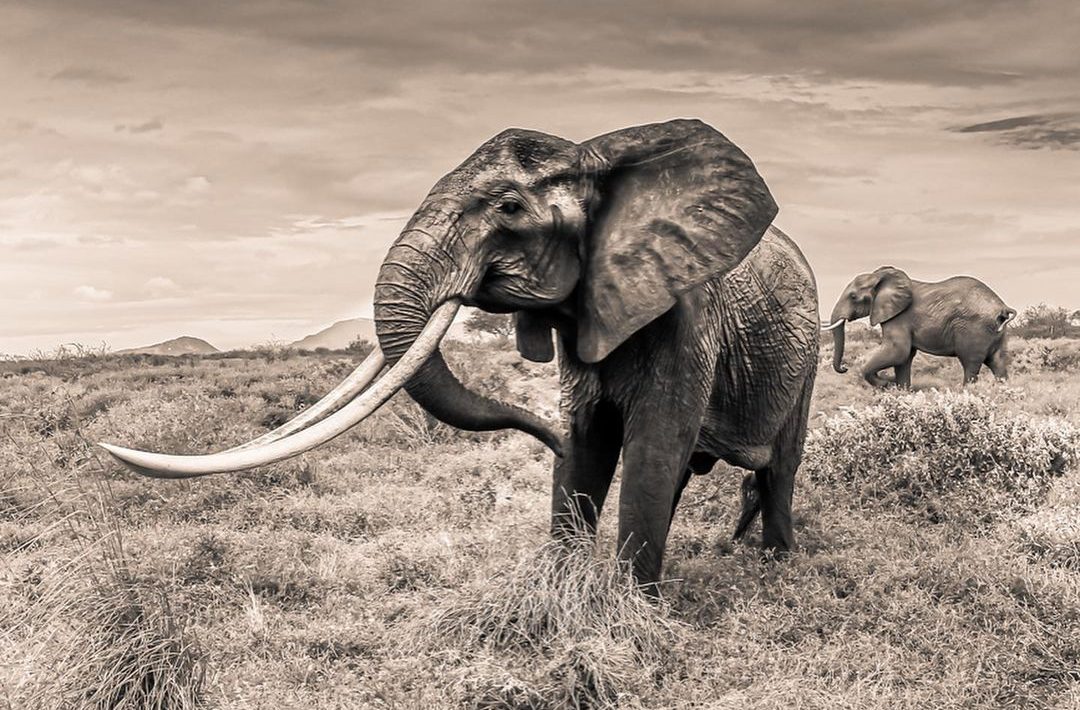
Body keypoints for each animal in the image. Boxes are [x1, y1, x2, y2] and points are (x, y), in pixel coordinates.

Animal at [101, 119, 820, 592]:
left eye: (508, 208)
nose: (545, 438)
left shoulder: (684, 313)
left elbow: (651, 447)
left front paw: (629, 610)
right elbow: (592, 443)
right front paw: (562, 594)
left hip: (808, 356)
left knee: (779, 463)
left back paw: (776, 564)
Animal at [824, 266, 1016, 387]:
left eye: (853, 296)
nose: (844, 368)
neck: (881, 277)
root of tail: (1002, 307)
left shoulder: (899, 317)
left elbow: (898, 351)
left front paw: (886, 384)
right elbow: (904, 357)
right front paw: (901, 390)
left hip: (973, 329)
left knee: (970, 363)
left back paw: (967, 392)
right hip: (995, 332)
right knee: (997, 362)